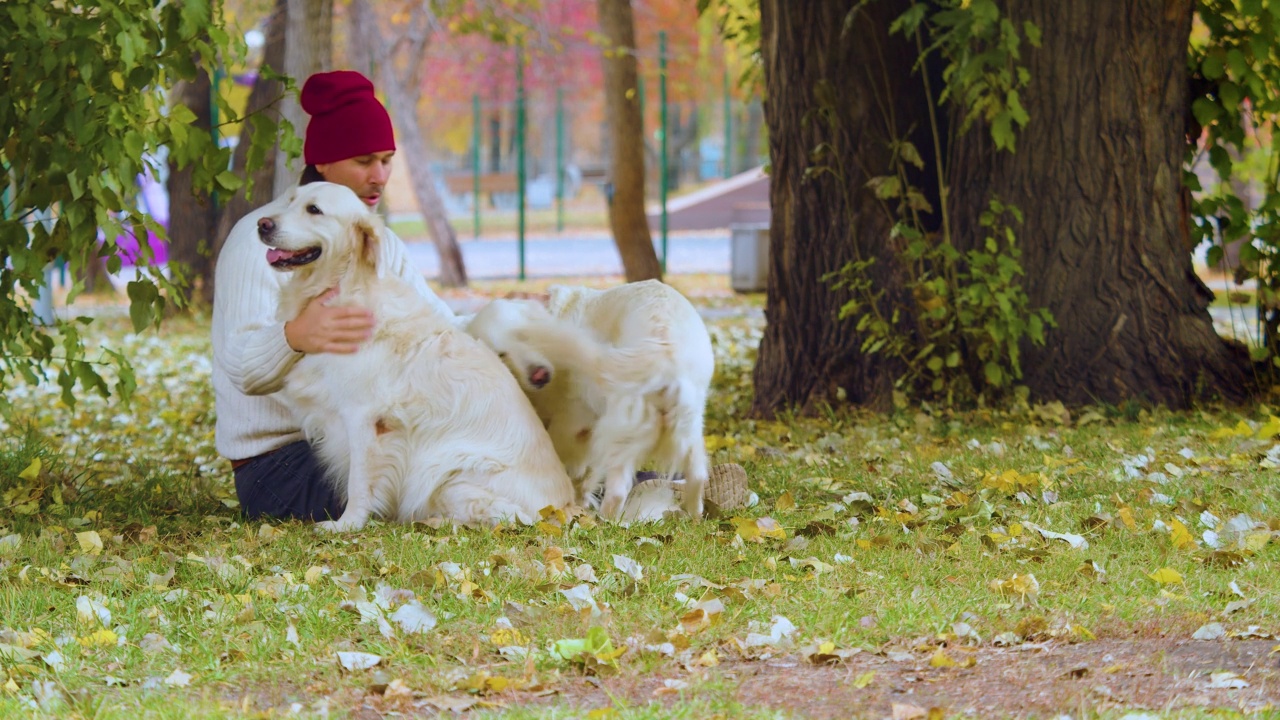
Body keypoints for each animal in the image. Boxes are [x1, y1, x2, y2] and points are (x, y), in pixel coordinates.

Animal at [465, 278, 716, 517]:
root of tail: (663, 352)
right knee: (697, 476)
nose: (538, 376)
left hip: (619, 436)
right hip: (690, 428)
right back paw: (692, 515)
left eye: (525, 335)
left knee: (617, 492)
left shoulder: (572, 424)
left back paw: (603, 522)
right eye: (501, 354)